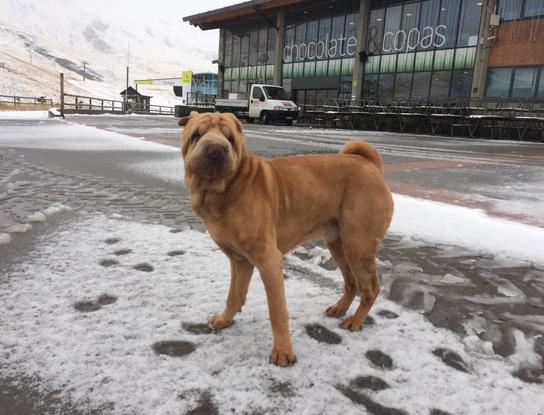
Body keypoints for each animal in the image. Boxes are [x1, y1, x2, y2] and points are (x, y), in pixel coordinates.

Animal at [181, 111, 394, 368]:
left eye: (230, 138)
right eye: (197, 134)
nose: (216, 149)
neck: (223, 191)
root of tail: (370, 164)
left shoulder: (269, 260)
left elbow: (277, 311)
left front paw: (283, 352)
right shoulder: (239, 260)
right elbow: (234, 295)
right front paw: (224, 319)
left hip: (358, 245)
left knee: (370, 287)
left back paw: (355, 321)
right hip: (338, 243)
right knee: (351, 283)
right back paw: (339, 309)